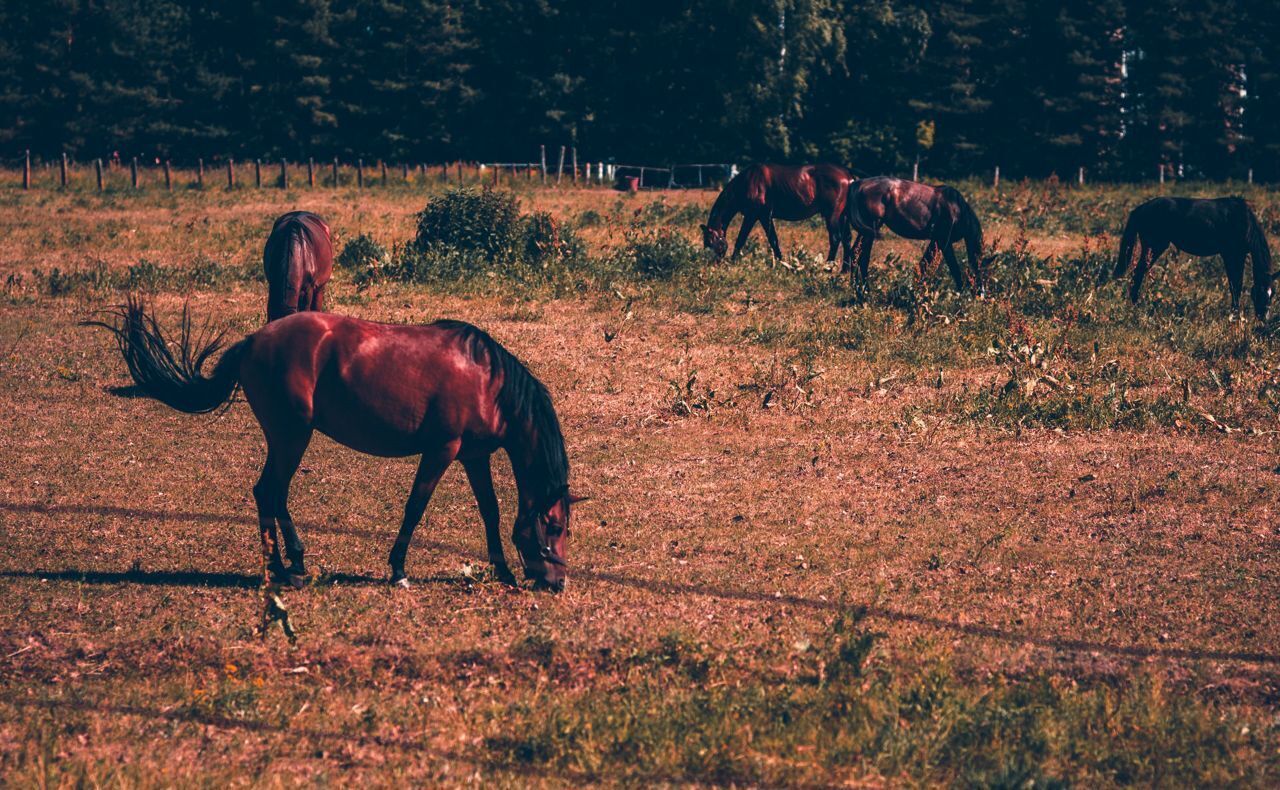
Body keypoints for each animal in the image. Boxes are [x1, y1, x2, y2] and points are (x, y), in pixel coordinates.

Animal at [90, 302, 586, 591]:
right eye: (555, 527)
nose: (557, 583)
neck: (488, 380)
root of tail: (253, 340)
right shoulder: (442, 451)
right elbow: (415, 507)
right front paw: (398, 570)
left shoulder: (473, 455)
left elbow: (491, 512)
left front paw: (503, 571)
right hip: (292, 435)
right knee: (271, 492)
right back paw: (286, 567)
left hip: (288, 438)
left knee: (269, 494)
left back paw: (286, 564)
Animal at [696, 163, 855, 262]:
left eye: (710, 242)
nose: (713, 264)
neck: (748, 182)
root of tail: (847, 175)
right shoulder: (763, 216)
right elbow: (773, 240)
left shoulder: (757, 215)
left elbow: (744, 239)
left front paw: (733, 261)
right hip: (842, 216)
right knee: (846, 239)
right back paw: (844, 270)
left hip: (832, 215)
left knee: (835, 238)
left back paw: (828, 267)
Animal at [844, 175, 983, 293]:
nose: (981, 295)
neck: (956, 207)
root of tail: (859, 184)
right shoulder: (945, 242)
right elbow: (954, 269)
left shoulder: (936, 241)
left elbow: (924, 265)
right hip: (871, 228)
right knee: (860, 255)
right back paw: (863, 293)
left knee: (857, 254)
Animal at [1111, 194, 1269, 320]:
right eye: (1259, 294)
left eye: (1271, 295)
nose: (1262, 319)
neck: (1243, 220)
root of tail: (1141, 208)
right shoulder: (1231, 254)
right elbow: (1235, 285)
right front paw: (1234, 315)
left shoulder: (1239, 254)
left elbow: (1237, 284)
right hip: (1153, 248)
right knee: (1137, 273)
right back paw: (1135, 305)